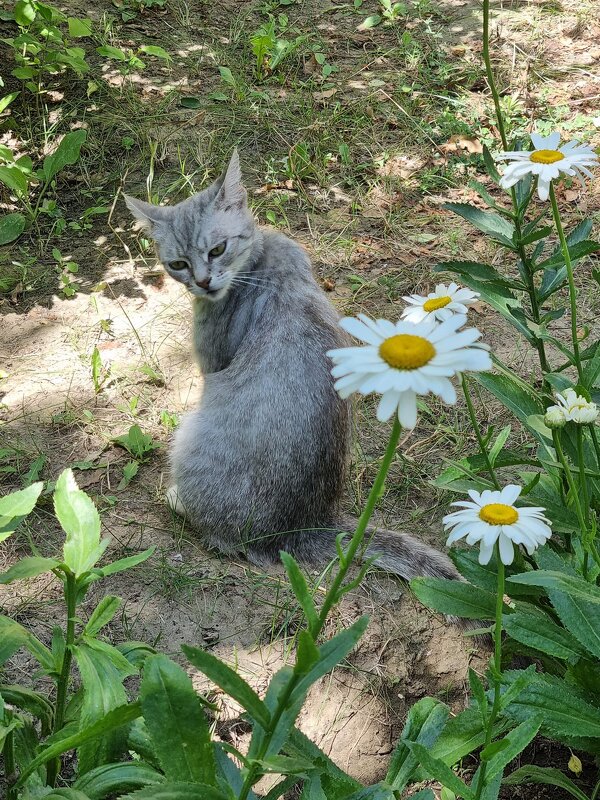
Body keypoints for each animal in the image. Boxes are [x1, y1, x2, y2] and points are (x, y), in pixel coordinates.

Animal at [124, 150, 458, 580]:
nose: (202, 282)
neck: (260, 259)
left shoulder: (211, 363)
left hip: (188, 434)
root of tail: (305, 526)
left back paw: (178, 499)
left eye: (217, 250)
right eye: (178, 263)